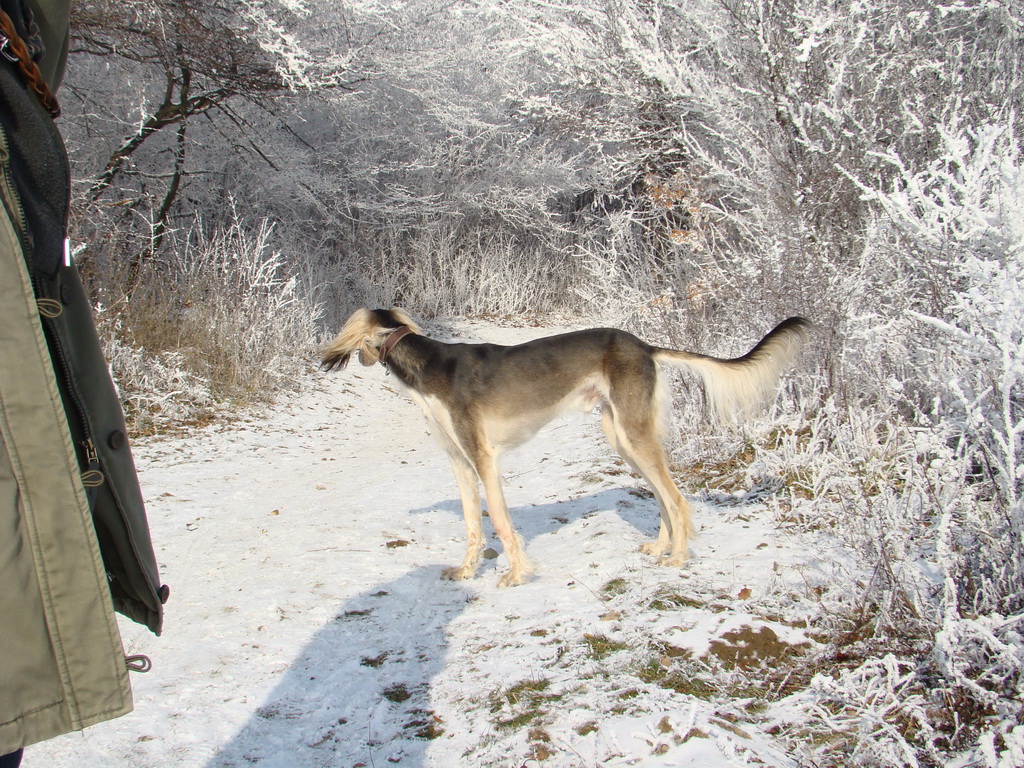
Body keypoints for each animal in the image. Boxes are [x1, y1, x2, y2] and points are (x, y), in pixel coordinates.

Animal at [319, 309, 806, 585]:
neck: (427, 367)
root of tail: (644, 346)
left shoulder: (483, 458)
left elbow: (501, 521)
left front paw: (517, 575)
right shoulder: (459, 461)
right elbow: (473, 526)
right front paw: (466, 572)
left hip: (633, 435)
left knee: (677, 499)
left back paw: (679, 558)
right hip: (623, 437)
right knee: (663, 497)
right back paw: (661, 548)